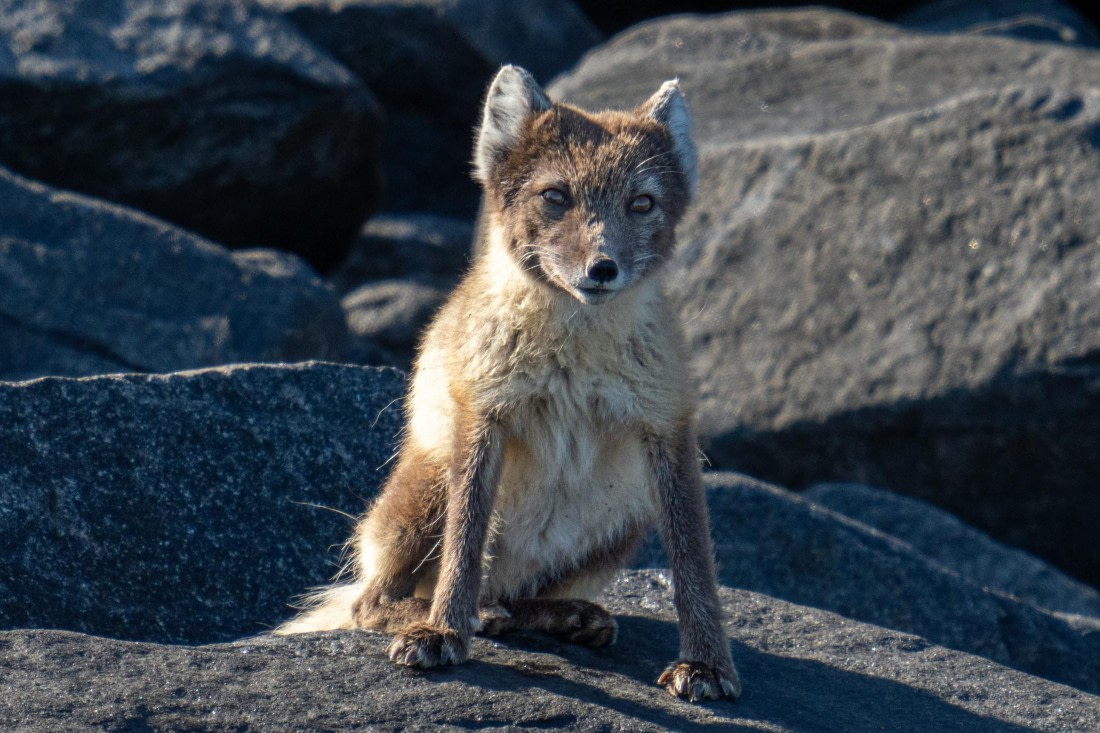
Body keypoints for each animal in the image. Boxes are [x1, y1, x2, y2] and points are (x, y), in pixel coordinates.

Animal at [277, 65, 740, 702]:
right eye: (555, 196)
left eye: (642, 203)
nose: (602, 269)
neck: (573, 361)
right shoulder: (482, 417)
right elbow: (465, 543)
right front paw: (442, 633)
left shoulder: (668, 428)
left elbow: (695, 566)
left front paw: (707, 666)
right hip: (428, 486)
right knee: (370, 603)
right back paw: (458, 615)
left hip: (628, 517)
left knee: (508, 595)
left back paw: (557, 615)